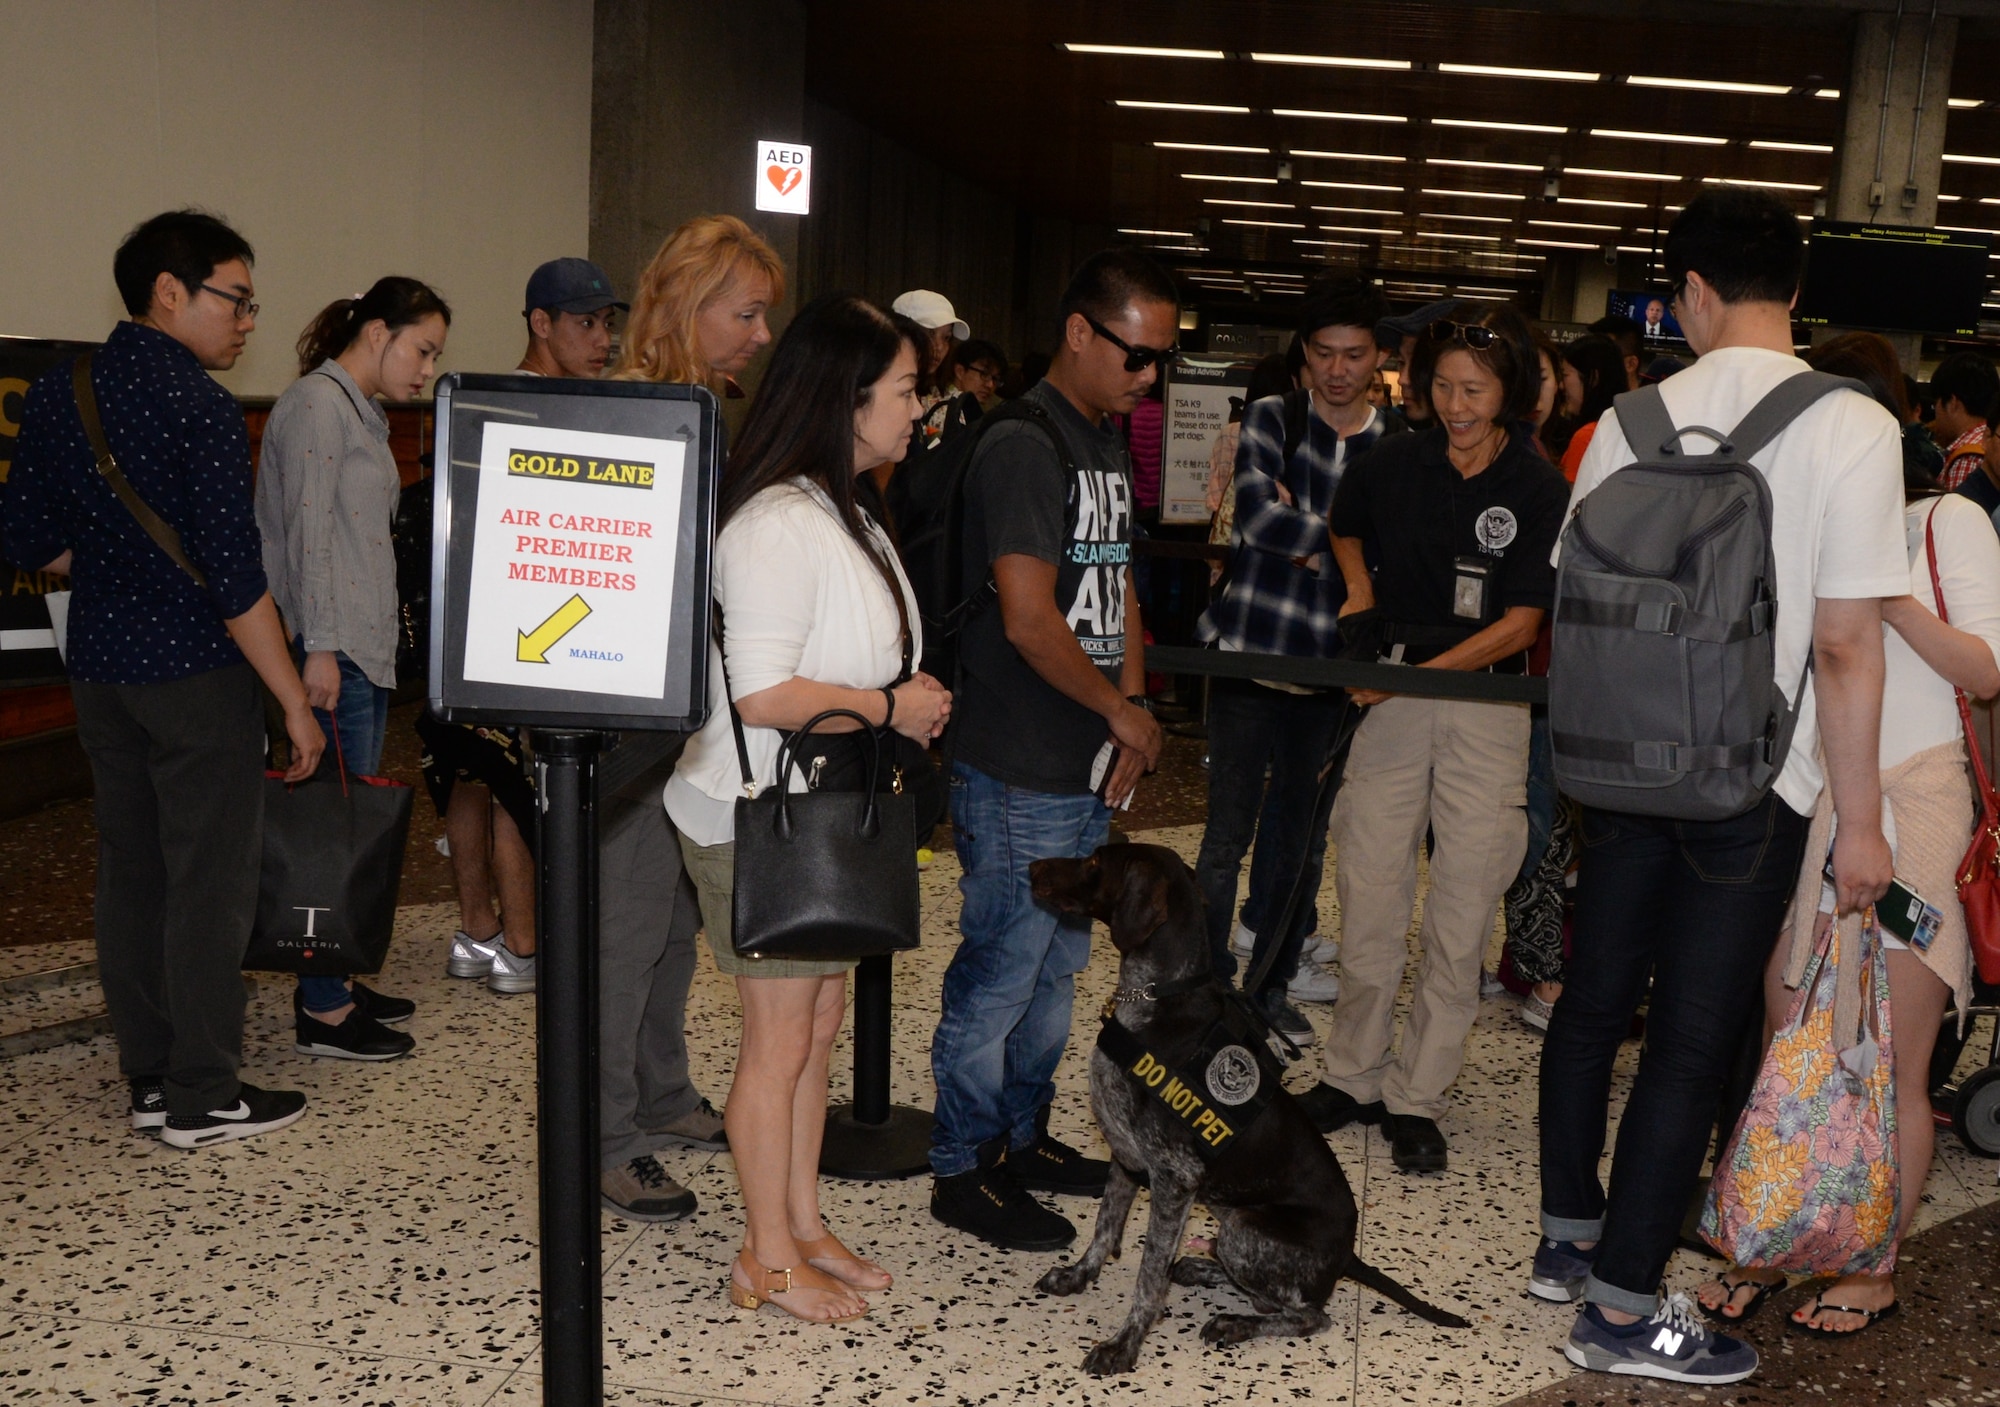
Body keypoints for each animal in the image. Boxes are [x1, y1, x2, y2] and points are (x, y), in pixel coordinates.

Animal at [1032, 847, 1472, 1375]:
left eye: (1096, 861)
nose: (1032, 868)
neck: (1156, 998)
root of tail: (1348, 1256)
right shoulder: (1127, 1157)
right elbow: (1104, 1229)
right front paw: (1078, 1276)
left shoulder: (1174, 1177)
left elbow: (1148, 1274)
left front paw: (1125, 1344)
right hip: (1231, 1222)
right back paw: (1202, 1267)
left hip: (1245, 1228)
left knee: (1307, 1314)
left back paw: (1234, 1321)